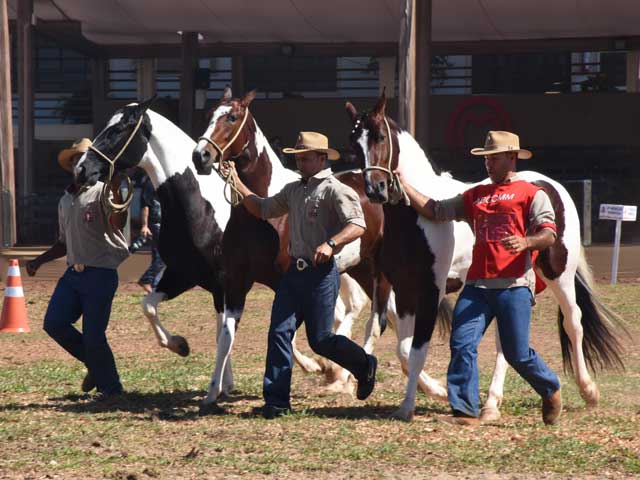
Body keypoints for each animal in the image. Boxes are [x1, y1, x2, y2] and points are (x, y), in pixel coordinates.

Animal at [72, 99, 368, 406]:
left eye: (119, 129)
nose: (81, 170)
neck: (200, 207)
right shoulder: (189, 277)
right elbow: (153, 307)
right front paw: (183, 348)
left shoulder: (234, 283)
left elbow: (240, 331)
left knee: (351, 309)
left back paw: (338, 373)